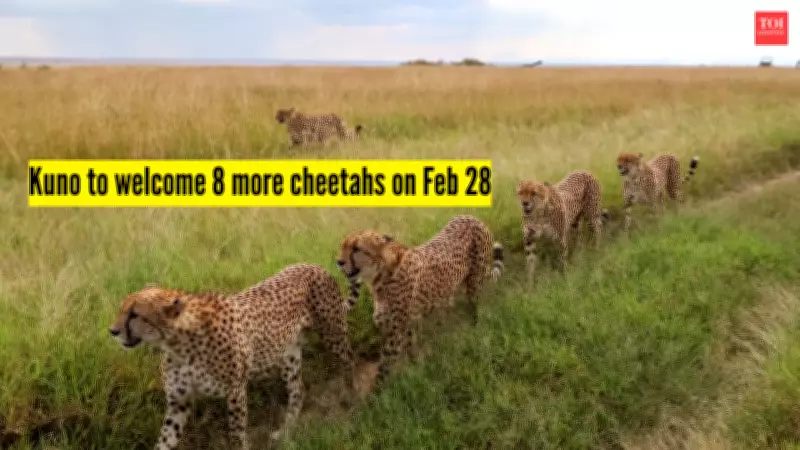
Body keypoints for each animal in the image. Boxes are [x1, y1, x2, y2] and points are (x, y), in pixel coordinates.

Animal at [108, 263, 356, 450]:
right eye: (122, 309)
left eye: (134, 314)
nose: (112, 331)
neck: (178, 343)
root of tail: (313, 265)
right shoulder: (179, 400)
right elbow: (165, 439)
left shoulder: (235, 390)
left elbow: (236, 435)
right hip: (289, 355)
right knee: (298, 390)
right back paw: (286, 430)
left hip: (333, 333)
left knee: (348, 361)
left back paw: (352, 401)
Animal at [335, 215, 504, 391]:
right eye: (343, 246)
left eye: (356, 248)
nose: (338, 262)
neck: (380, 276)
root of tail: (472, 218)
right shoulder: (406, 325)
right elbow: (410, 349)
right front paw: (417, 369)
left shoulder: (395, 331)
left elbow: (384, 365)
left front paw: (377, 393)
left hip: (474, 282)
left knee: (475, 308)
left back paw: (474, 330)